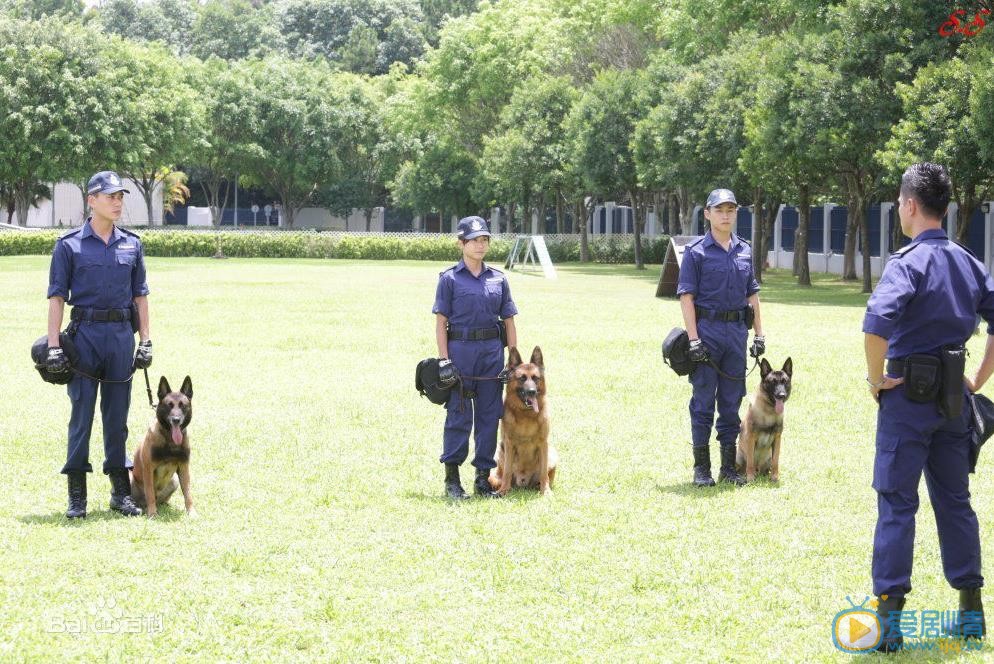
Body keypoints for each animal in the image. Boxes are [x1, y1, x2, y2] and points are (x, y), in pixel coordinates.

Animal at [130, 376, 196, 516]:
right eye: (169, 405)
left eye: (183, 405)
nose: (176, 420)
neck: (170, 442)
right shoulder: (148, 469)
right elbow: (149, 492)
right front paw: (152, 514)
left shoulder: (184, 467)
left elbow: (188, 494)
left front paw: (192, 512)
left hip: (174, 480)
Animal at [490, 344, 560, 496]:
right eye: (522, 378)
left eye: (535, 378)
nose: (532, 392)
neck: (526, 415)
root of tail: (523, 482)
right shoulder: (509, 444)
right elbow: (507, 471)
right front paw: (503, 490)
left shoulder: (543, 444)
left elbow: (544, 473)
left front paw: (545, 491)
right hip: (500, 454)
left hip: (552, 455)